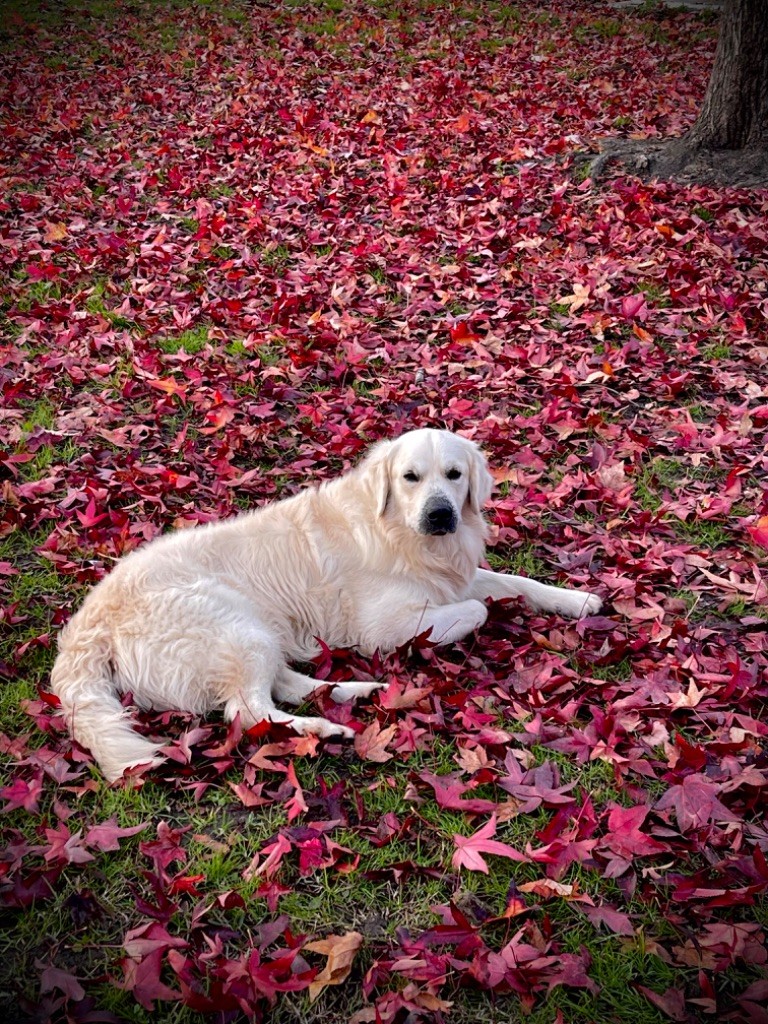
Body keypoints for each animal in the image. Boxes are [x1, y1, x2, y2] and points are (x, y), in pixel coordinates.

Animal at [49, 428, 606, 778]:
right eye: (410, 477)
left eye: (454, 474)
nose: (441, 515)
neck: (402, 533)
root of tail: (86, 624)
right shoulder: (386, 626)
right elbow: (481, 608)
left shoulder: (454, 578)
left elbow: (515, 582)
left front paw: (578, 599)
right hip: (231, 621)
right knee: (249, 710)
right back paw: (328, 727)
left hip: (253, 630)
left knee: (283, 685)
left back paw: (356, 692)